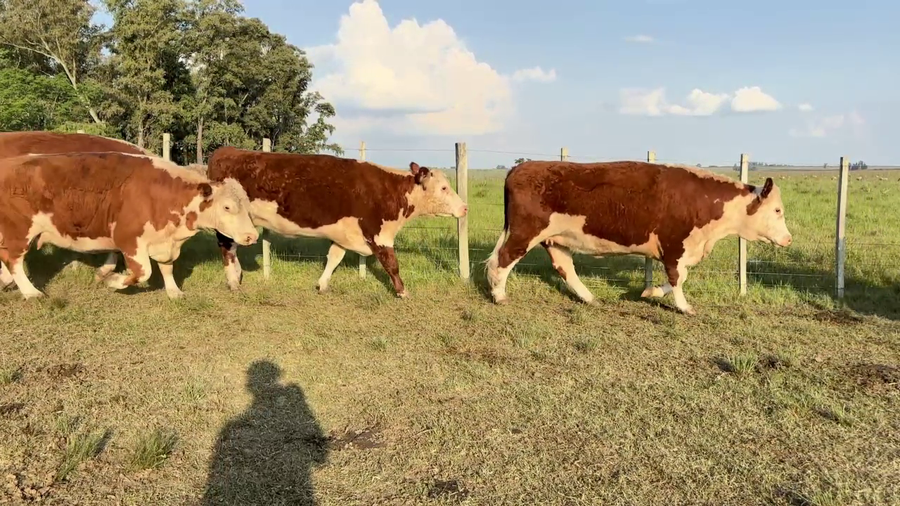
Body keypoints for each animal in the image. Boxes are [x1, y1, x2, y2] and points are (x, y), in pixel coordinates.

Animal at [0, 151, 259, 300]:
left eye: (247, 205)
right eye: (227, 207)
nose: (252, 236)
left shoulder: (165, 240)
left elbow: (166, 267)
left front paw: (174, 291)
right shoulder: (129, 239)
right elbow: (143, 271)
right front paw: (114, 281)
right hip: (20, 232)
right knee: (14, 261)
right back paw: (31, 292)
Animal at [206, 147, 468, 297]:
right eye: (444, 188)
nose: (465, 207)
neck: (392, 191)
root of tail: (226, 150)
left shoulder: (345, 234)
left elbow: (334, 257)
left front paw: (322, 284)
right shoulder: (379, 234)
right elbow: (392, 264)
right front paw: (403, 292)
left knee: (232, 248)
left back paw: (238, 275)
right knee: (226, 247)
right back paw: (233, 281)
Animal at [485, 160, 792, 315]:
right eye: (778, 210)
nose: (789, 239)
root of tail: (520, 167)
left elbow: (677, 278)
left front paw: (650, 292)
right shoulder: (674, 245)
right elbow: (678, 278)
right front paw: (683, 307)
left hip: (557, 239)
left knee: (565, 269)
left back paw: (590, 298)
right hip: (525, 232)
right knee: (502, 260)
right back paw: (499, 296)